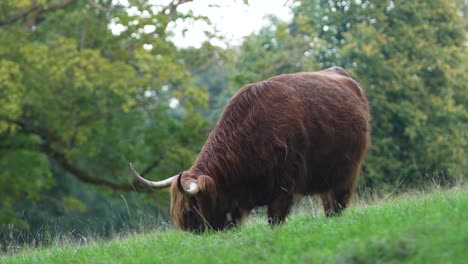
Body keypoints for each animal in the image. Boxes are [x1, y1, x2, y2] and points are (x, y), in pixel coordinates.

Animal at [129, 67, 370, 232]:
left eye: (190, 210)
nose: (194, 233)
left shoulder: (284, 184)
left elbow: (275, 218)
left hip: (345, 172)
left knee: (337, 202)